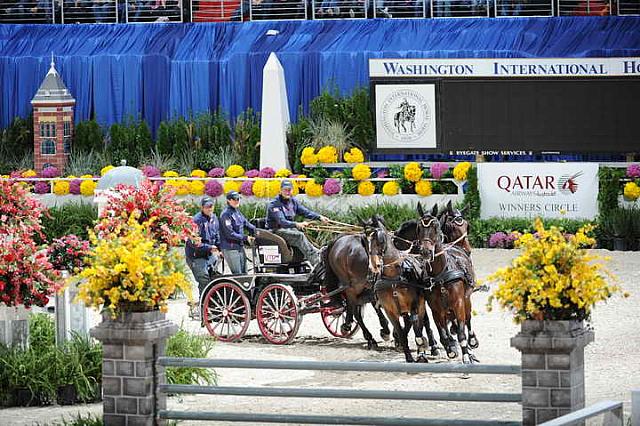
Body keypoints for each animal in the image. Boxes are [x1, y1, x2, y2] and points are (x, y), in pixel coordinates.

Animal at [368, 215, 428, 362]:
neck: (393, 278)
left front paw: (421, 347)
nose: (374, 265)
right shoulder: (389, 311)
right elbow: (401, 332)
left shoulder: (414, 304)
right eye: (367, 241)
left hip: (420, 305)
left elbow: (415, 325)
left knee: (418, 323)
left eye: (380, 239)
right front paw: (408, 356)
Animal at [418, 205, 478, 364]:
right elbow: (443, 332)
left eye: (436, 227)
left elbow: (462, 331)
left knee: (467, 319)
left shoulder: (458, 302)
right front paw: (450, 348)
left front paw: (466, 355)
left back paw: (471, 342)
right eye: (419, 228)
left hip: (466, 299)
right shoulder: (435, 308)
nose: (426, 251)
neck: (441, 272)